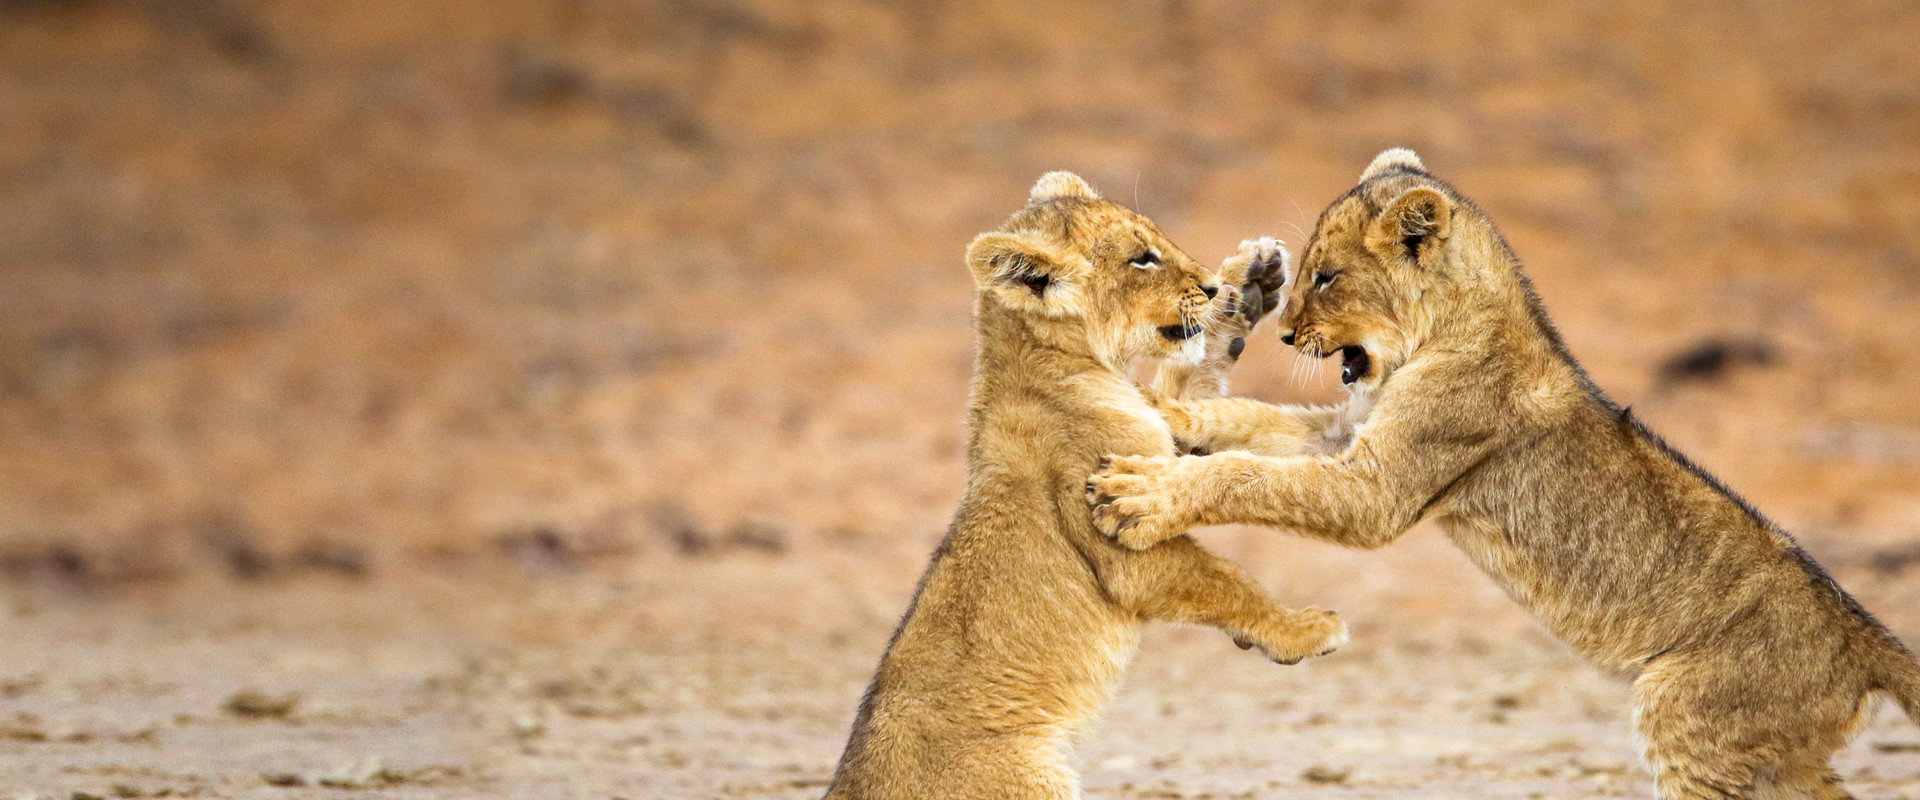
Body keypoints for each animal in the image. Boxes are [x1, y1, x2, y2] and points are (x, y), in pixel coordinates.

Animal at [822, 172, 1345, 800]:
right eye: (1141, 259)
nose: (1211, 284)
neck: (1059, 363)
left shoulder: (1161, 443)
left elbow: (1192, 383)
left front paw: (1252, 283)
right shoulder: (1120, 536)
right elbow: (1226, 580)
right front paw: (1305, 631)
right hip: (1032, 776)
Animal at [1086, 150, 1920, 799]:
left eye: (1326, 277)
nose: (1287, 332)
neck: (1454, 325)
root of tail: (1861, 637)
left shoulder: (1378, 489)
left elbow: (1249, 472)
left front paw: (1142, 495)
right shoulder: (1352, 437)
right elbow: (1253, 424)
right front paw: (1164, 413)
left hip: (1693, 717)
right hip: (1767, 751)